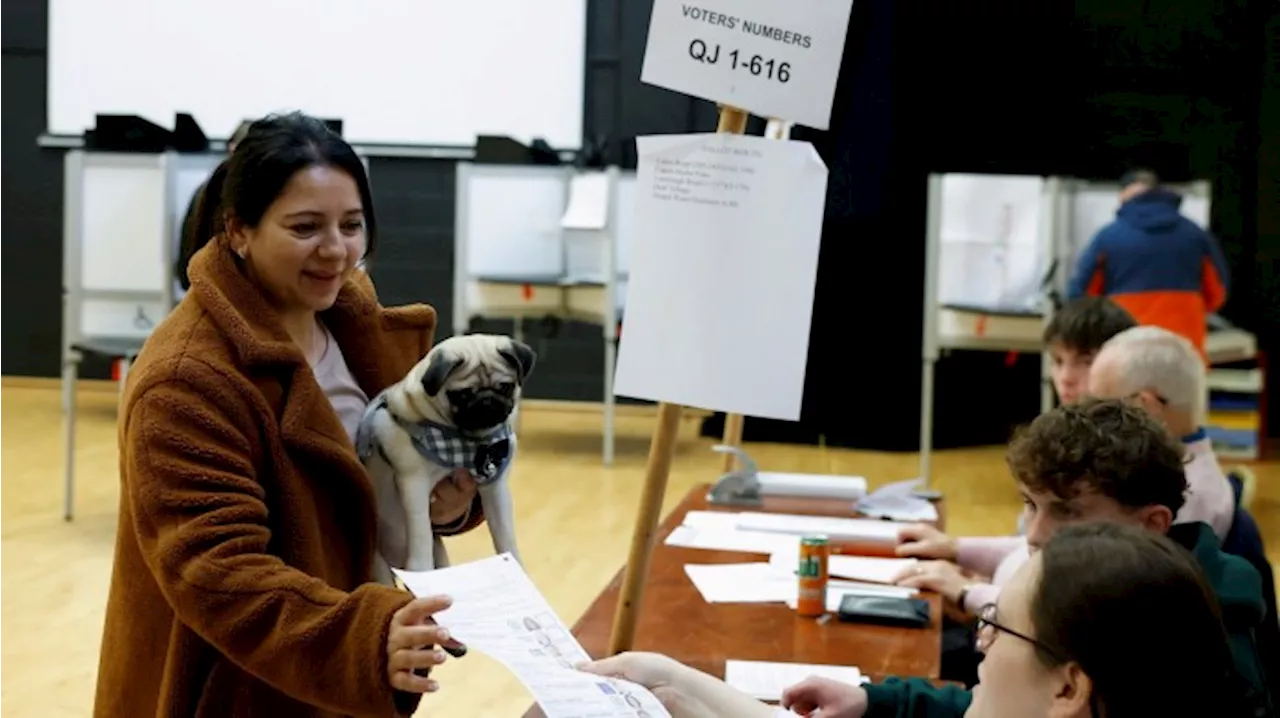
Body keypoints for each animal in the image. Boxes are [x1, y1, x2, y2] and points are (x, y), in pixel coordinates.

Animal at [355, 332, 535, 586]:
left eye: (505, 387)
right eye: (461, 395)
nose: (487, 401)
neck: (465, 439)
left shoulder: (495, 488)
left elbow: (504, 532)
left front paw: (515, 565)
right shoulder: (414, 483)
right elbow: (420, 530)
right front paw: (420, 570)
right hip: (379, 566)